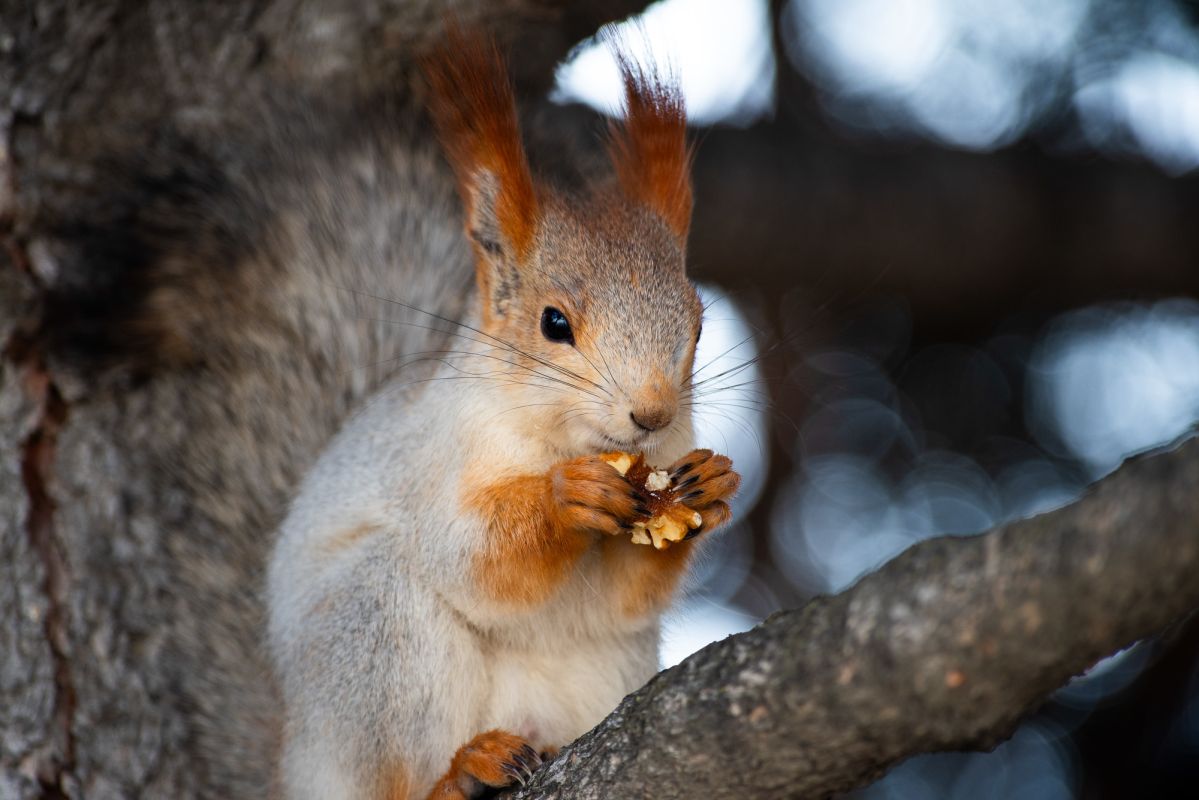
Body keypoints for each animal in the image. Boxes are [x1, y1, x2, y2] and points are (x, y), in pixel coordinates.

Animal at [264, 28, 738, 800]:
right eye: (553, 323)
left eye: (697, 327)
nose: (652, 415)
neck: (562, 439)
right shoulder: (435, 457)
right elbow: (470, 557)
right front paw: (565, 498)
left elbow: (623, 595)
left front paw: (709, 488)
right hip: (375, 637)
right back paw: (458, 774)